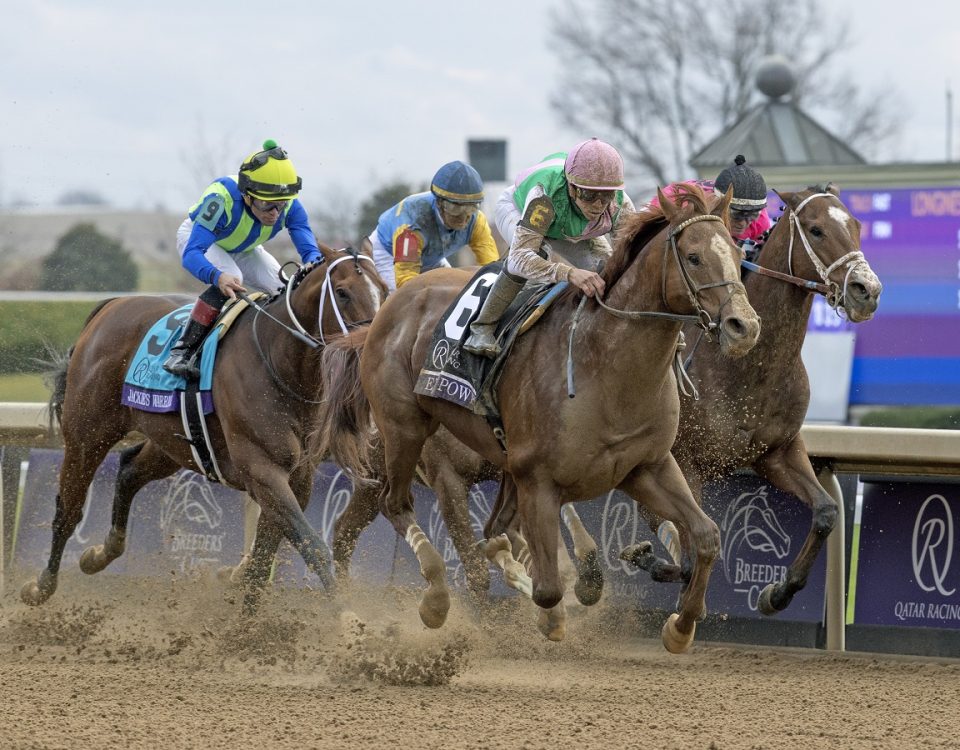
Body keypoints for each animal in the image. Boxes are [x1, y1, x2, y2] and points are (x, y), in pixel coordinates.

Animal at [17, 245, 386, 612]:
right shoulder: (263, 471)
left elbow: (263, 558)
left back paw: (99, 553)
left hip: (173, 443)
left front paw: (250, 622)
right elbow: (309, 545)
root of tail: (111, 306)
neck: (278, 363)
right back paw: (40, 587)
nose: (371, 348)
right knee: (68, 510)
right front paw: (346, 616)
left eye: (382, 290)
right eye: (343, 292)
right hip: (87, 435)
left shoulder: (298, 477)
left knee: (129, 470)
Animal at [318, 187, 760, 652]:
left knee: (471, 528)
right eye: (693, 257)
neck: (603, 364)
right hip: (404, 431)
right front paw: (551, 616)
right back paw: (432, 600)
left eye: (735, 251)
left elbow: (706, 537)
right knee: (398, 506)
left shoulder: (645, 467)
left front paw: (681, 623)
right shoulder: (533, 479)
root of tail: (391, 304)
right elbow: (546, 586)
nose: (744, 326)